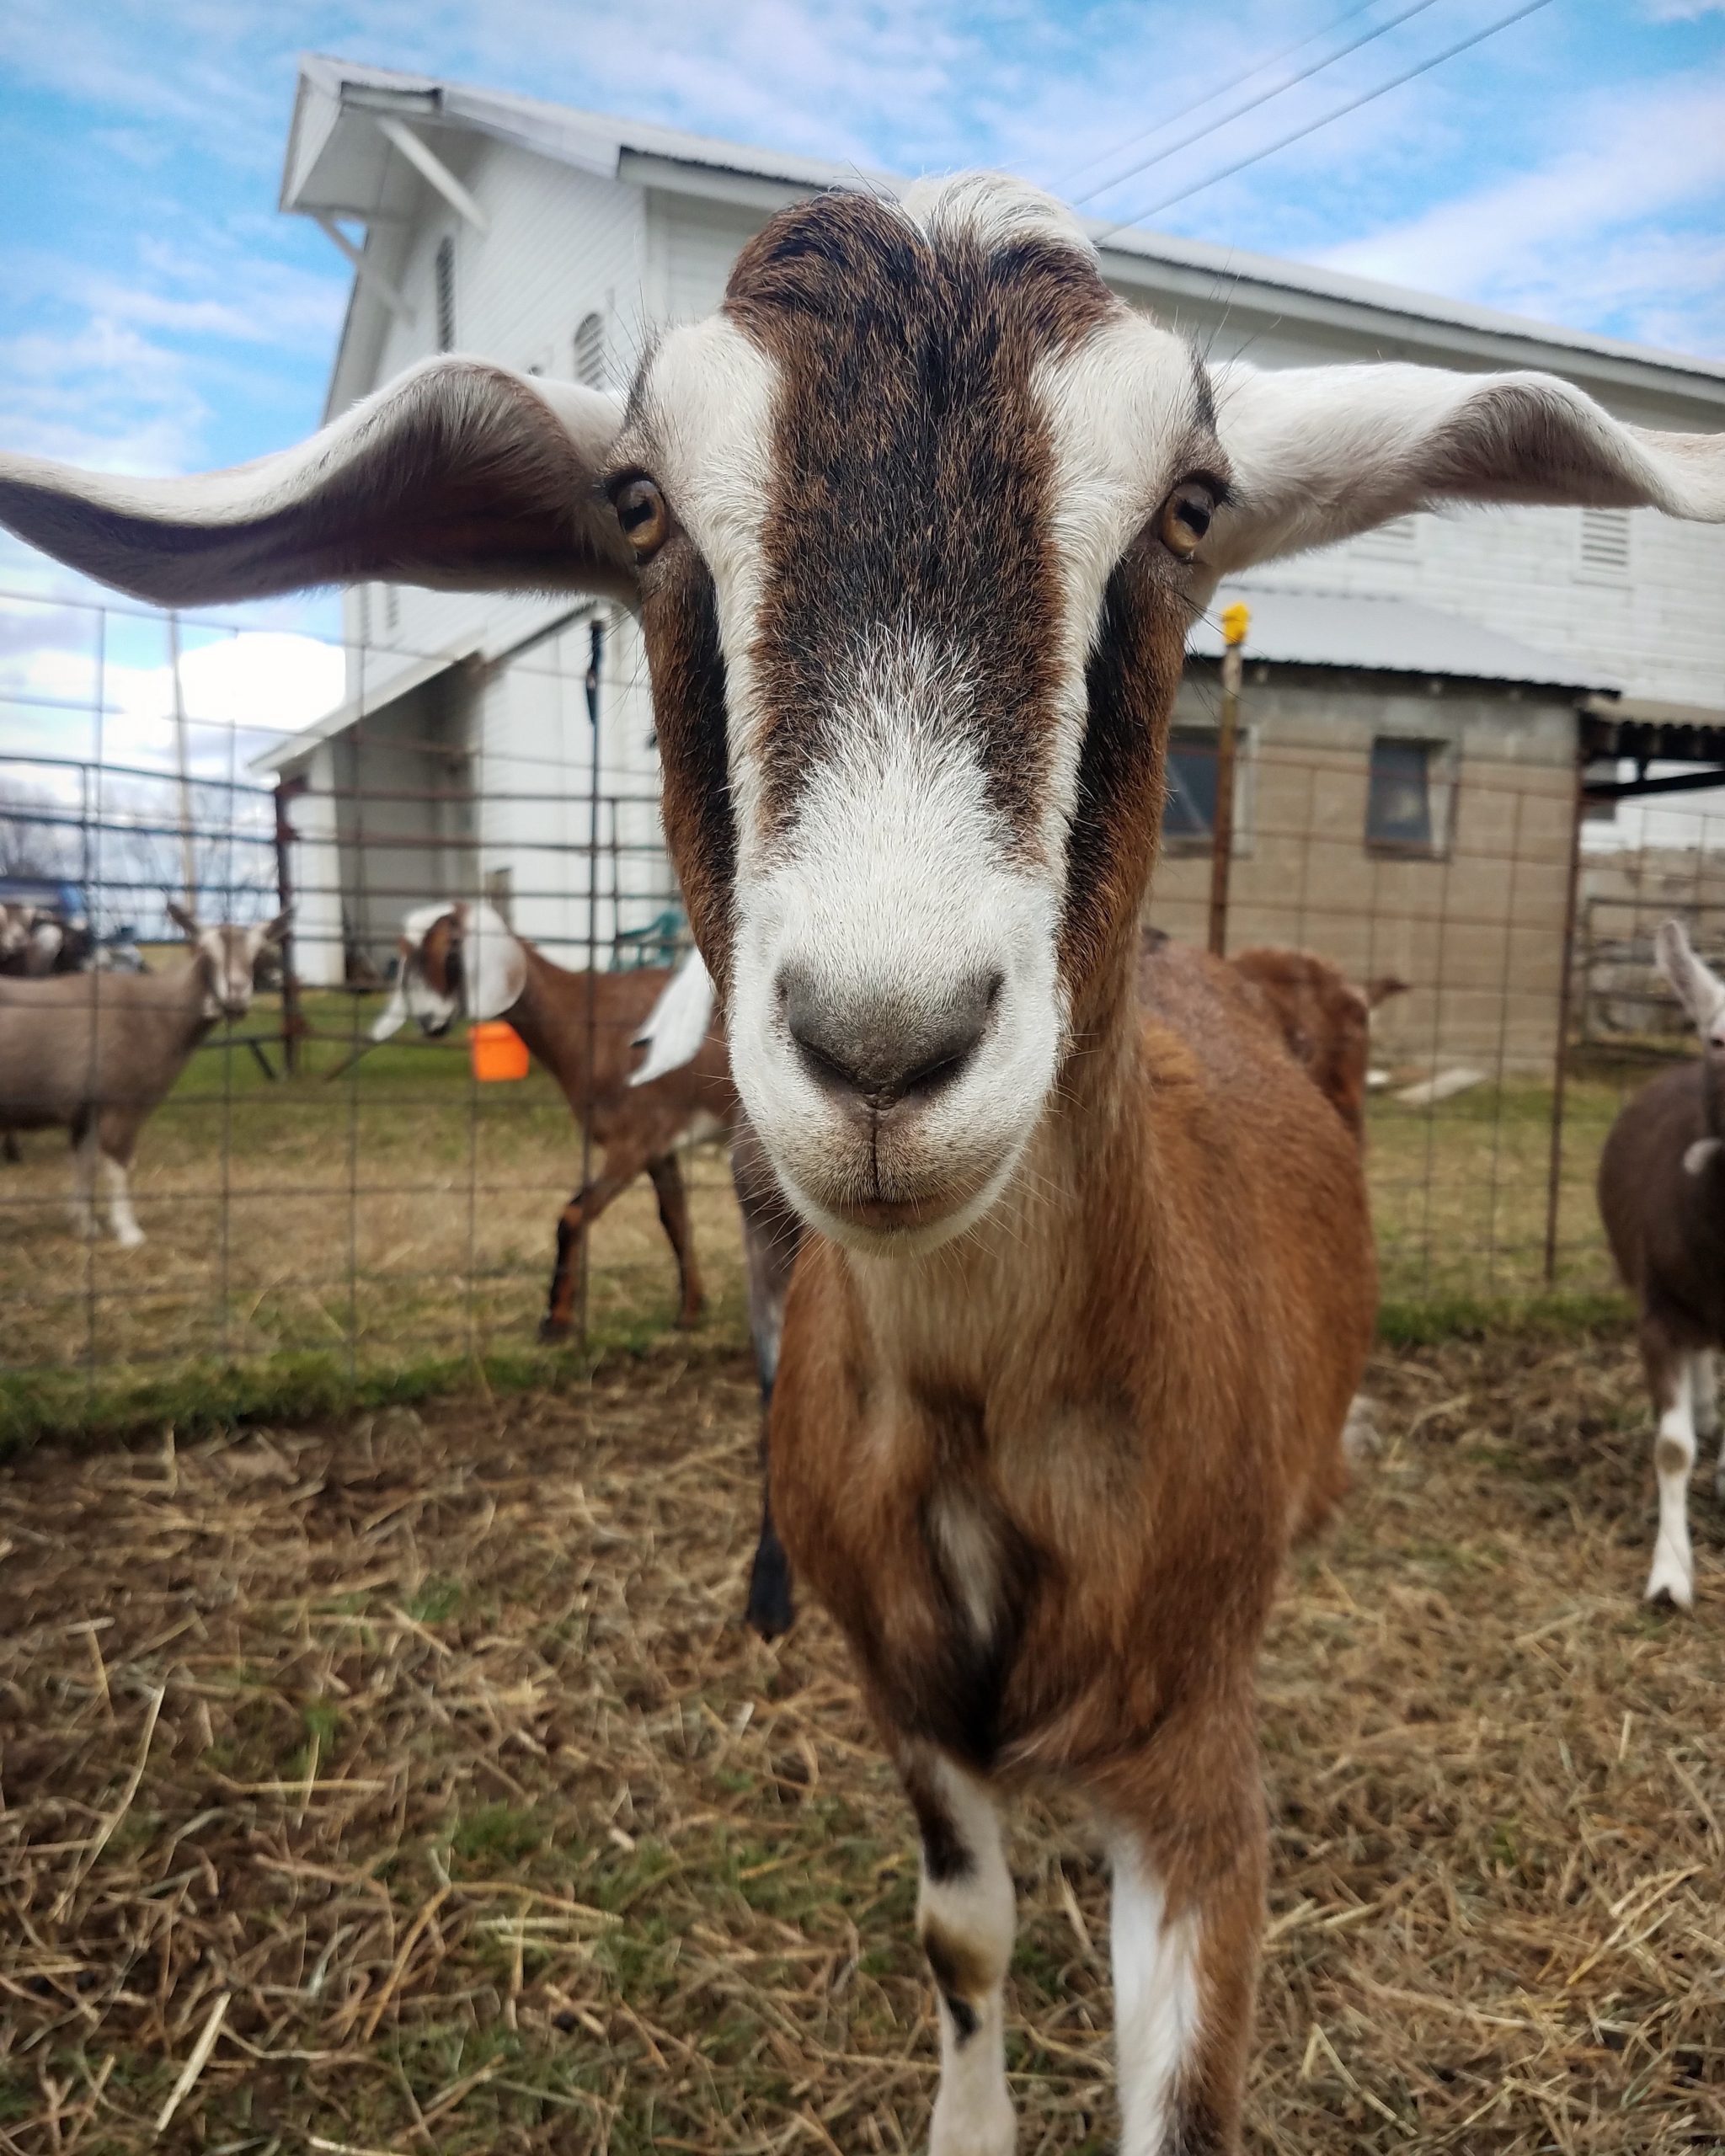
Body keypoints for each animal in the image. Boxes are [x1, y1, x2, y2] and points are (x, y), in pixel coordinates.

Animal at [0, 901, 287, 1246]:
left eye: (257, 953)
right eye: (206, 953)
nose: (236, 997)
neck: (156, 1013)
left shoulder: (86, 1109)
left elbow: (84, 1163)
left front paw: (85, 1225)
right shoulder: (121, 1103)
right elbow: (119, 1166)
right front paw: (128, 1231)